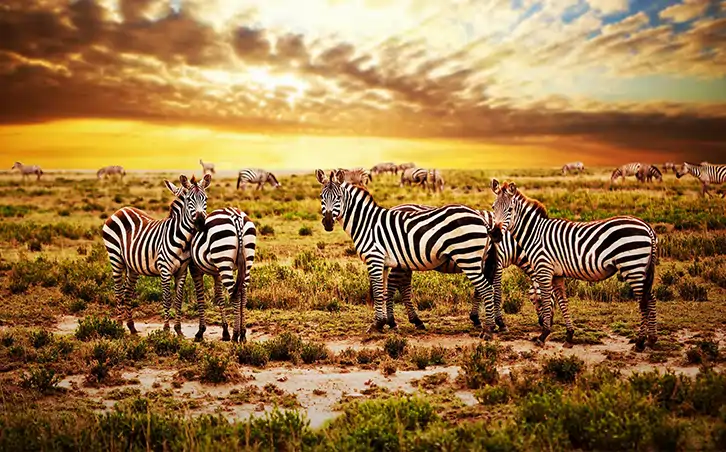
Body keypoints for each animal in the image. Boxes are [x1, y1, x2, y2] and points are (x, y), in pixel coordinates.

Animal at [102, 174, 212, 336]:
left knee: (127, 292)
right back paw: (118, 326)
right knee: (118, 291)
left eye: (205, 199)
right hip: (115, 258)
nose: (200, 221)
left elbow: (178, 299)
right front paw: (166, 329)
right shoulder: (164, 270)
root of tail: (121, 209)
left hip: (132, 265)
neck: (183, 239)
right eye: (189, 199)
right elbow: (166, 298)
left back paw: (131, 327)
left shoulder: (182, 271)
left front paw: (178, 330)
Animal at [189, 207, 256, 343]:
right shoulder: (217, 273)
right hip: (246, 261)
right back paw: (243, 334)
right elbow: (220, 297)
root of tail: (236, 216)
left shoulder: (194, 269)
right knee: (243, 294)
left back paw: (235, 335)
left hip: (224, 260)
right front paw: (225, 332)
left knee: (235, 296)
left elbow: (200, 297)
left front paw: (200, 332)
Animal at [316, 169, 500, 336]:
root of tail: (481, 219)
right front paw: (384, 323)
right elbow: (383, 291)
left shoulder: (374, 258)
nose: (328, 222)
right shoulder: (383, 263)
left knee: (486, 289)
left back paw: (488, 329)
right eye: (321, 197)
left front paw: (376, 325)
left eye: (338, 198)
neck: (366, 223)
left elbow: (377, 291)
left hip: (468, 257)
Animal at [490, 179, 658, 351]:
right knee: (651, 298)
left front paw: (543, 335)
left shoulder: (544, 269)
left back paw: (640, 342)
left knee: (644, 302)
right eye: (493, 207)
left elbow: (547, 298)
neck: (535, 234)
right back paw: (651, 339)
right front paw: (569, 336)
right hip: (640, 269)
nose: (494, 234)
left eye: (510, 209)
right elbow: (563, 302)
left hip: (633, 266)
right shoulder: (557, 274)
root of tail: (647, 226)